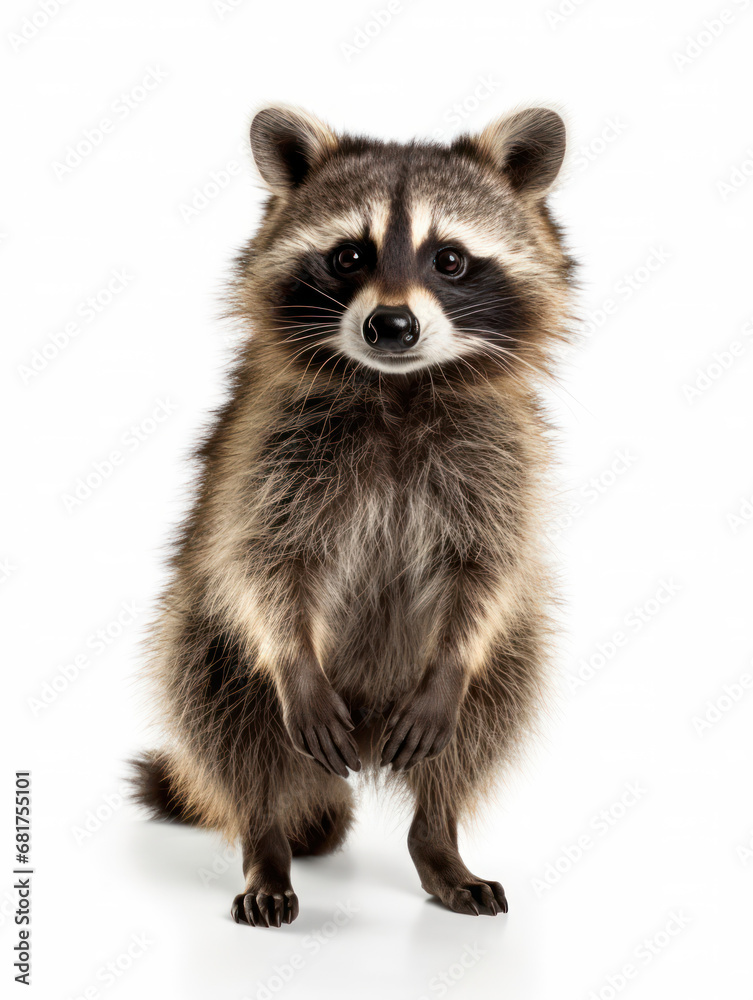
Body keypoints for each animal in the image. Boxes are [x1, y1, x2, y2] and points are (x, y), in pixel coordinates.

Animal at [132, 104, 575, 926]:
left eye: (450, 260)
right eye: (348, 256)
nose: (391, 326)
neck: (395, 388)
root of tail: (365, 745)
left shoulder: (503, 457)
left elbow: (489, 569)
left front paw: (457, 659)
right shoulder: (264, 453)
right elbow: (259, 560)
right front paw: (291, 660)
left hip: (469, 683)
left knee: (493, 700)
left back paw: (438, 834)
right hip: (207, 640)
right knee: (222, 714)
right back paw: (265, 840)